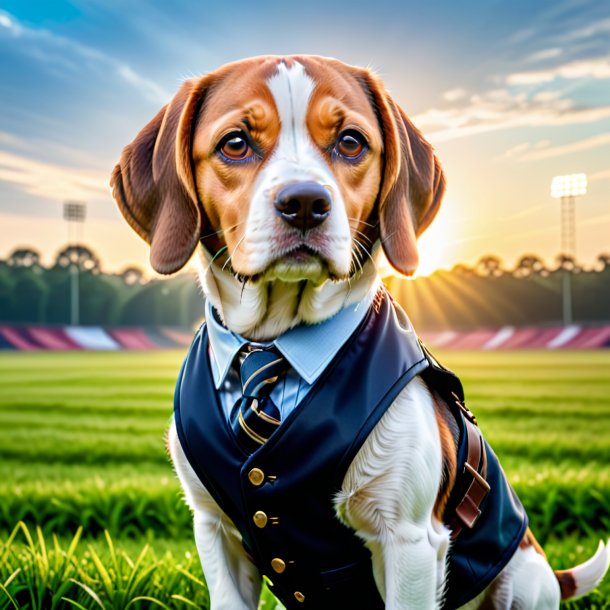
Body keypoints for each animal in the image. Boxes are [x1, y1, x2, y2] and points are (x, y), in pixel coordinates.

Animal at [110, 54, 608, 604]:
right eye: (235, 143)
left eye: (350, 141)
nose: (305, 203)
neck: (273, 343)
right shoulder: (213, 529)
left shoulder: (409, 541)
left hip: (519, 582)